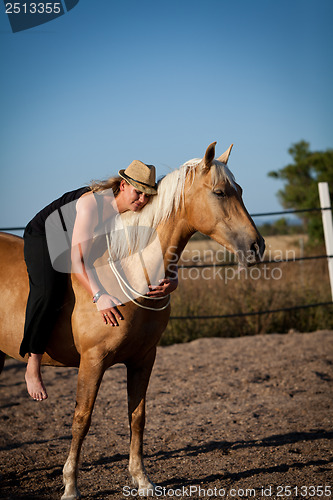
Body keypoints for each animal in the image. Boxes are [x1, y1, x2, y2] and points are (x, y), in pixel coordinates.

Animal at [0, 143, 264, 498]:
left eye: (241, 191)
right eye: (220, 192)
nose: (256, 246)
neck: (128, 270)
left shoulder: (143, 359)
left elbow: (137, 416)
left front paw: (142, 480)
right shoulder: (92, 361)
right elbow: (81, 419)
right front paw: (70, 486)